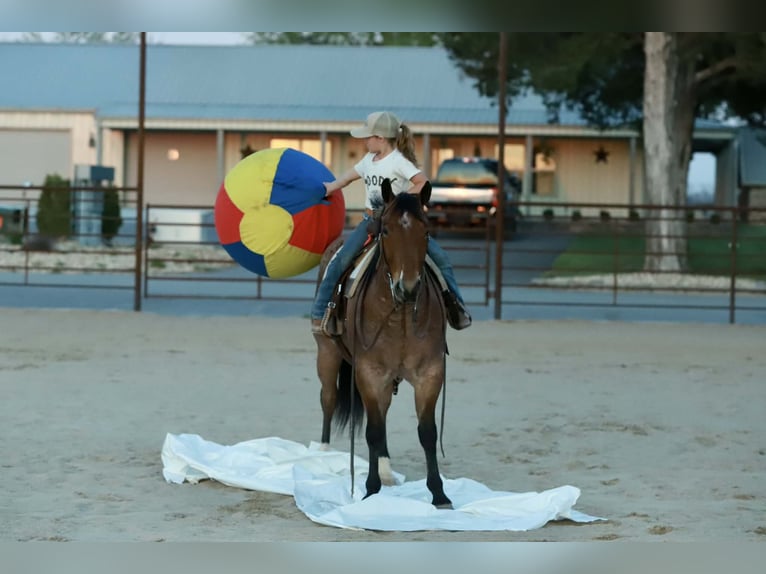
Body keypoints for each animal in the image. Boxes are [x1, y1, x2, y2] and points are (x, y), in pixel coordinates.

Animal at [312, 178, 452, 508]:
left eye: (426, 231)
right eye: (386, 230)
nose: (408, 287)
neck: (399, 314)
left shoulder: (429, 374)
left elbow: (427, 432)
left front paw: (439, 494)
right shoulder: (369, 374)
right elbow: (373, 431)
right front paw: (370, 489)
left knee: (383, 412)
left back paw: (387, 472)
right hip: (326, 353)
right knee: (328, 397)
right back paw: (322, 455)